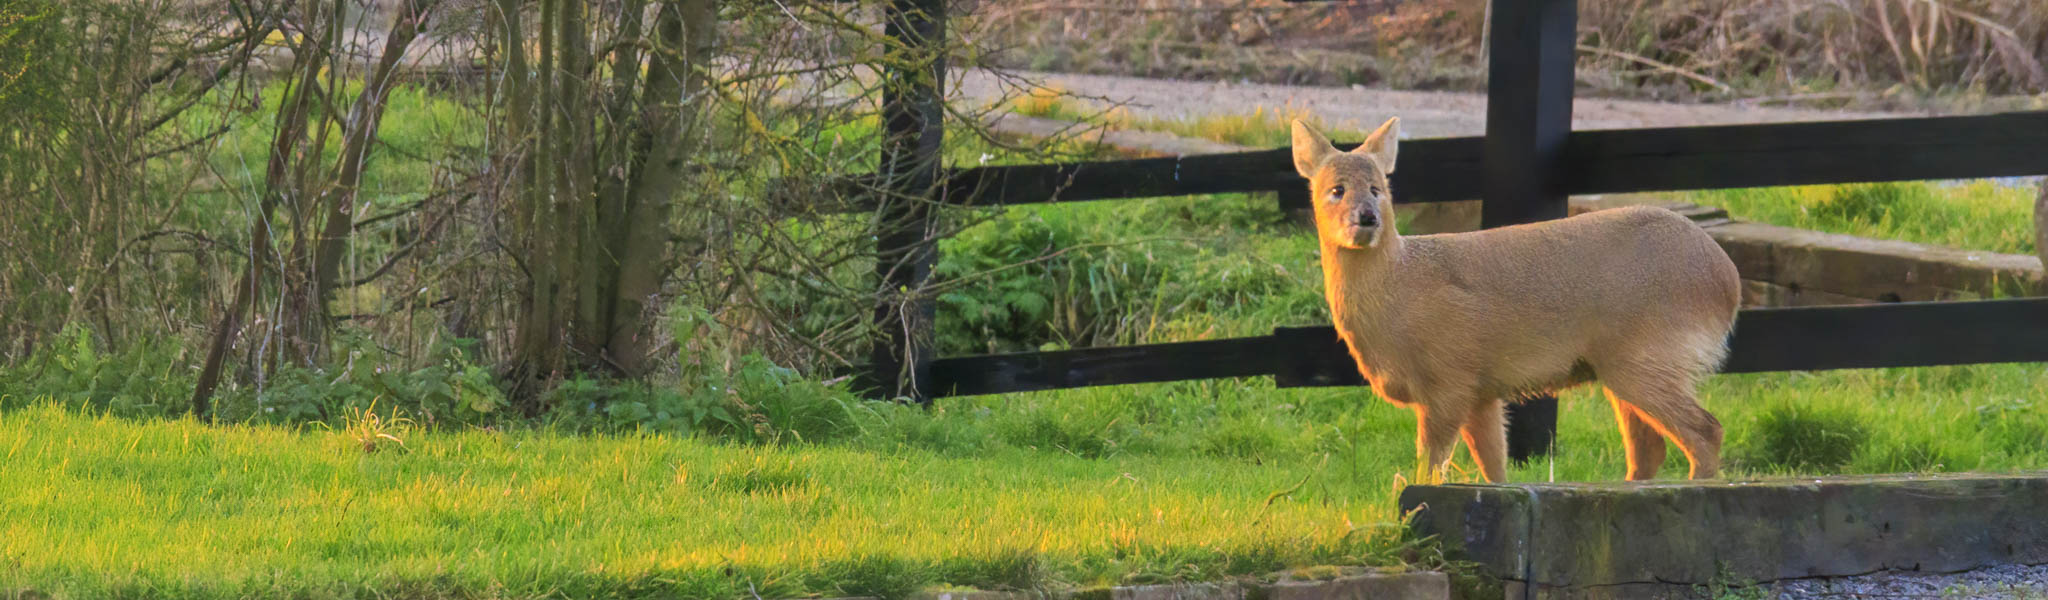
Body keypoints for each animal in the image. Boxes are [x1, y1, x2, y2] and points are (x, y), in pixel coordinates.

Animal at [1291, 117, 1741, 484]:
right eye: (1336, 190)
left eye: (1378, 189)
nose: (1367, 217)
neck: (1401, 287)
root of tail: (1728, 282)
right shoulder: (1481, 389)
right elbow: (1495, 466)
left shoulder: (1450, 374)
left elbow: (1430, 464)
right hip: (1624, 366)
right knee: (1650, 448)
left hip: (1650, 353)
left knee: (1706, 430)